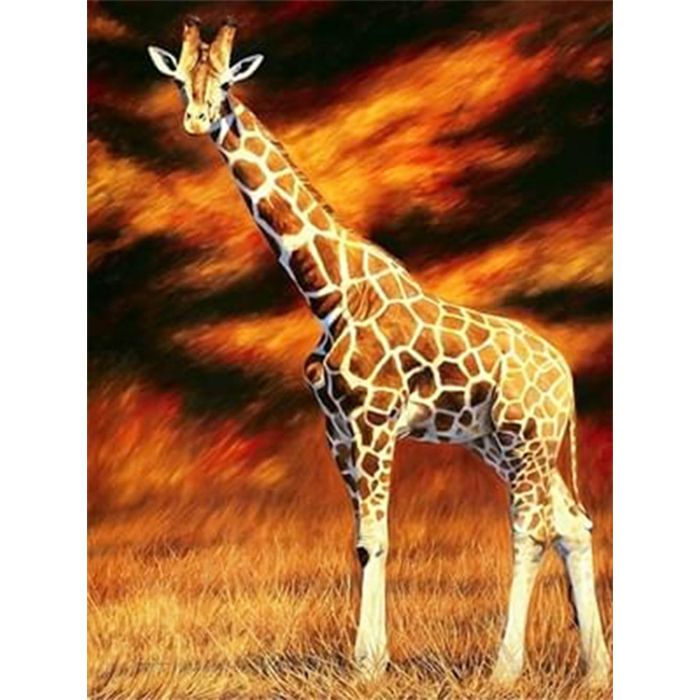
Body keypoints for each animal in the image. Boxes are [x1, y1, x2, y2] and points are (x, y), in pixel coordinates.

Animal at [148, 17, 611, 684]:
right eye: (181, 80)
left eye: (227, 82)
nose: (198, 117)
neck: (330, 292)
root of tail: (566, 375)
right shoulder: (337, 429)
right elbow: (363, 541)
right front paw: (368, 658)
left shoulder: (375, 422)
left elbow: (379, 537)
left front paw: (368, 665)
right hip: (503, 443)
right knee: (573, 522)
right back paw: (597, 669)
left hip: (526, 438)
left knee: (532, 529)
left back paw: (505, 668)